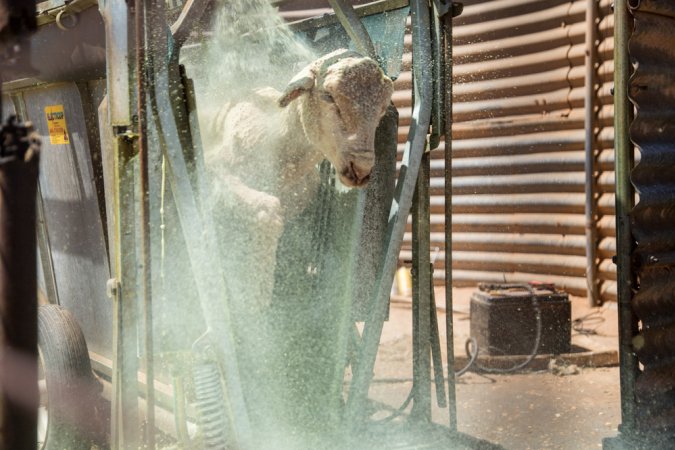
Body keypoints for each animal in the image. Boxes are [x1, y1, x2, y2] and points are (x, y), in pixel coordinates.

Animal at [203, 48, 394, 310]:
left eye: (382, 108)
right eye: (328, 96)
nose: (361, 168)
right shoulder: (217, 173)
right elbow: (266, 211)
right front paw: (256, 299)